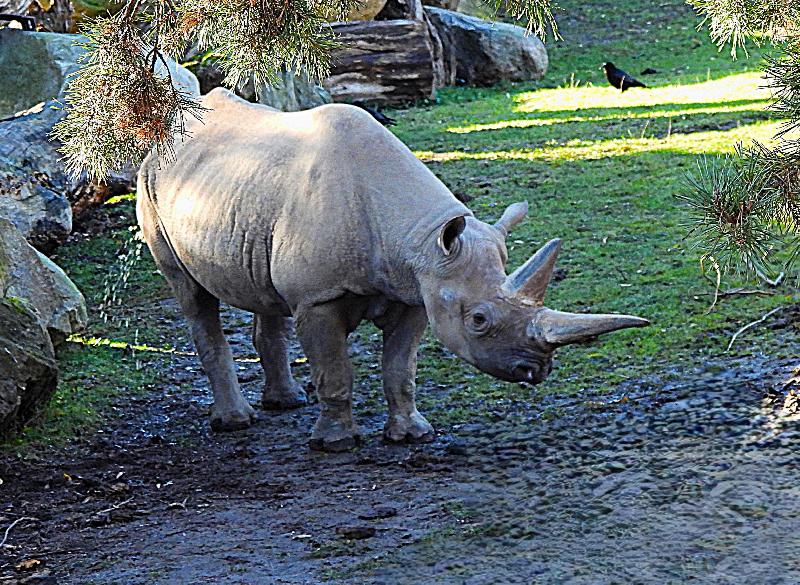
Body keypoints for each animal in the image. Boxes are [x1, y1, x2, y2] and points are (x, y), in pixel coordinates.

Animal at [136, 88, 648, 451]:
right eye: (479, 320)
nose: (536, 371)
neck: (417, 240)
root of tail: (167, 131)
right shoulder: (320, 297)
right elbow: (335, 372)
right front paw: (336, 445)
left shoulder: (420, 289)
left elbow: (400, 368)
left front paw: (413, 434)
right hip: (152, 183)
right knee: (193, 298)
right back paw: (235, 423)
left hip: (244, 198)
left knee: (265, 294)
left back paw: (285, 403)